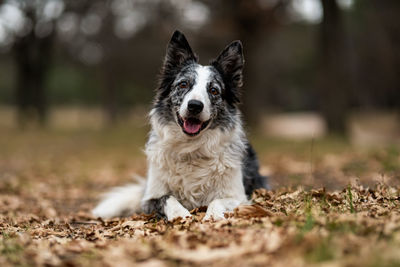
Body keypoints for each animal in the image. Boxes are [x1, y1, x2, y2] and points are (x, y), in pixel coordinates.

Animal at [93, 30, 268, 221]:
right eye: (183, 84)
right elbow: (167, 198)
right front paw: (180, 215)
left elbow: (217, 201)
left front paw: (212, 217)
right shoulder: (149, 198)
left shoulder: (238, 196)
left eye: (213, 90)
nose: (195, 106)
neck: (190, 149)